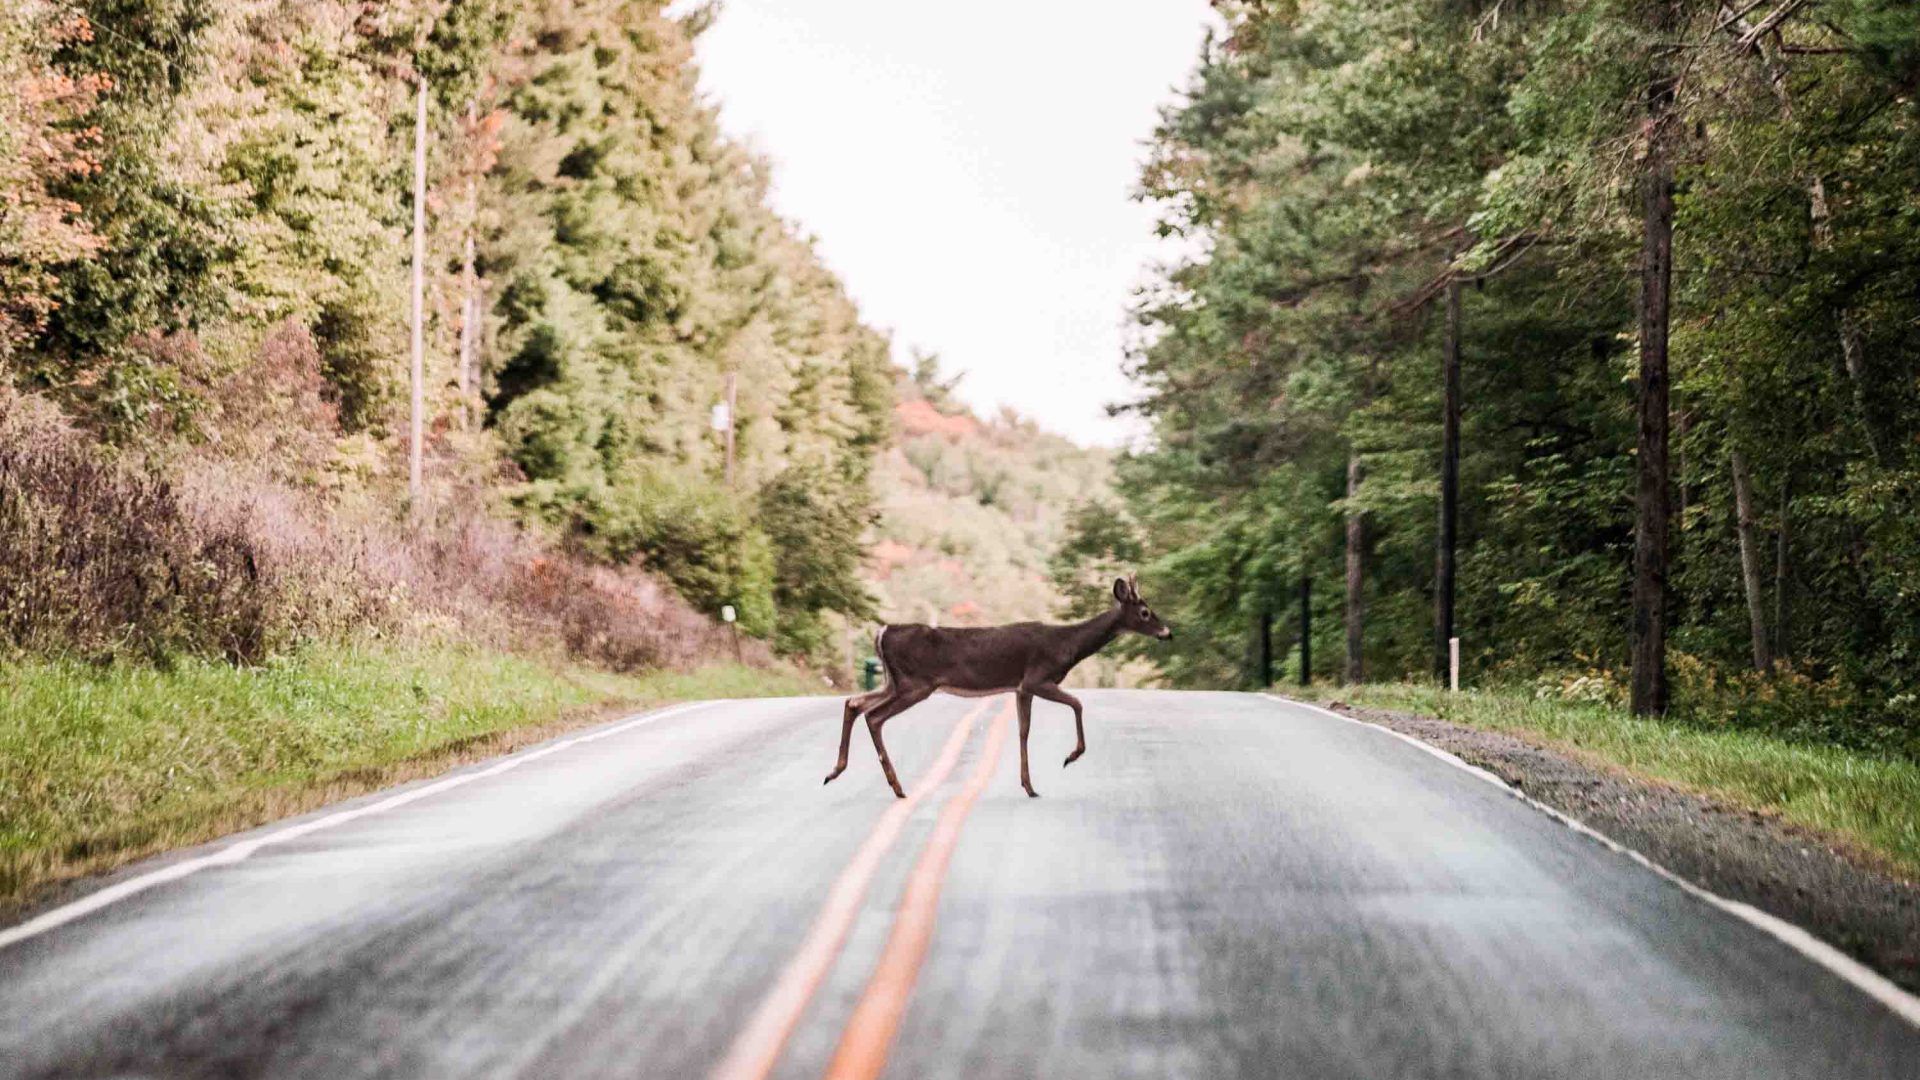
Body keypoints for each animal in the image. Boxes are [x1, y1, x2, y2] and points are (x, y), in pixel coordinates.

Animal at [824, 576, 1172, 799]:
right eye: (1145, 612)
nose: (1167, 632)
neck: (1067, 646)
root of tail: (882, 632)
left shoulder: (1020, 688)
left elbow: (1023, 730)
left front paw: (1029, 786)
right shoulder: (1037, 678)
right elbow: (1077, 703)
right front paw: (1070, 756)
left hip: (892, 681)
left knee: (853, 703)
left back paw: (835, 771)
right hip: (915, 683)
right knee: (874, 716)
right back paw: (896, 787)